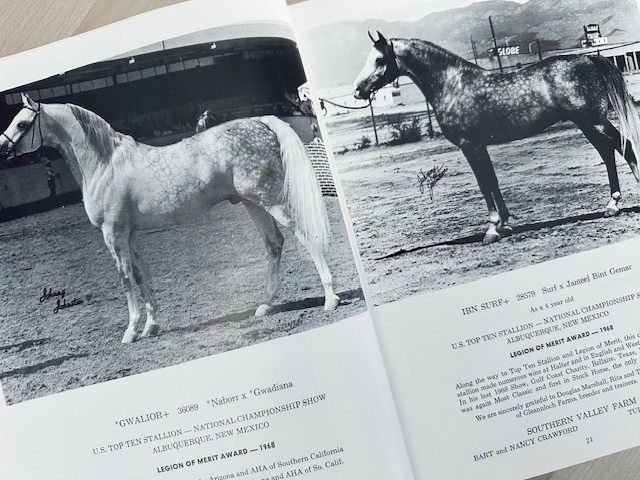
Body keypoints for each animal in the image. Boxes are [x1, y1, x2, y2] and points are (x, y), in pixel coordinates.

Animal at [0, 93, 340, 343]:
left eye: (22, 123)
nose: (2, 149)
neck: (105, 164)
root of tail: (260, 120)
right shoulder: (130, 233)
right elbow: (142, 276)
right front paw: (151, 326)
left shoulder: (113, 234)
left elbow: (125, 279)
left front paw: (131, 331)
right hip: (251, 203)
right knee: (274, 244)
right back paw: (266, 305)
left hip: (269, 198)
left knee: (306, 237)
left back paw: (330, 298)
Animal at [353, 32, 640, 244]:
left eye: (379, 59)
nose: (357, 90)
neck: (453, 85)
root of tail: (589, 59)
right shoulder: (481, 146)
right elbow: (492, 181)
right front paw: (504, 224)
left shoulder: (470, 146)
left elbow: (484, 184)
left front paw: (491, 229)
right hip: (587, 124)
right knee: (609, 152)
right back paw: (612, 205)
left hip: (594, 121)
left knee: (623, 147)